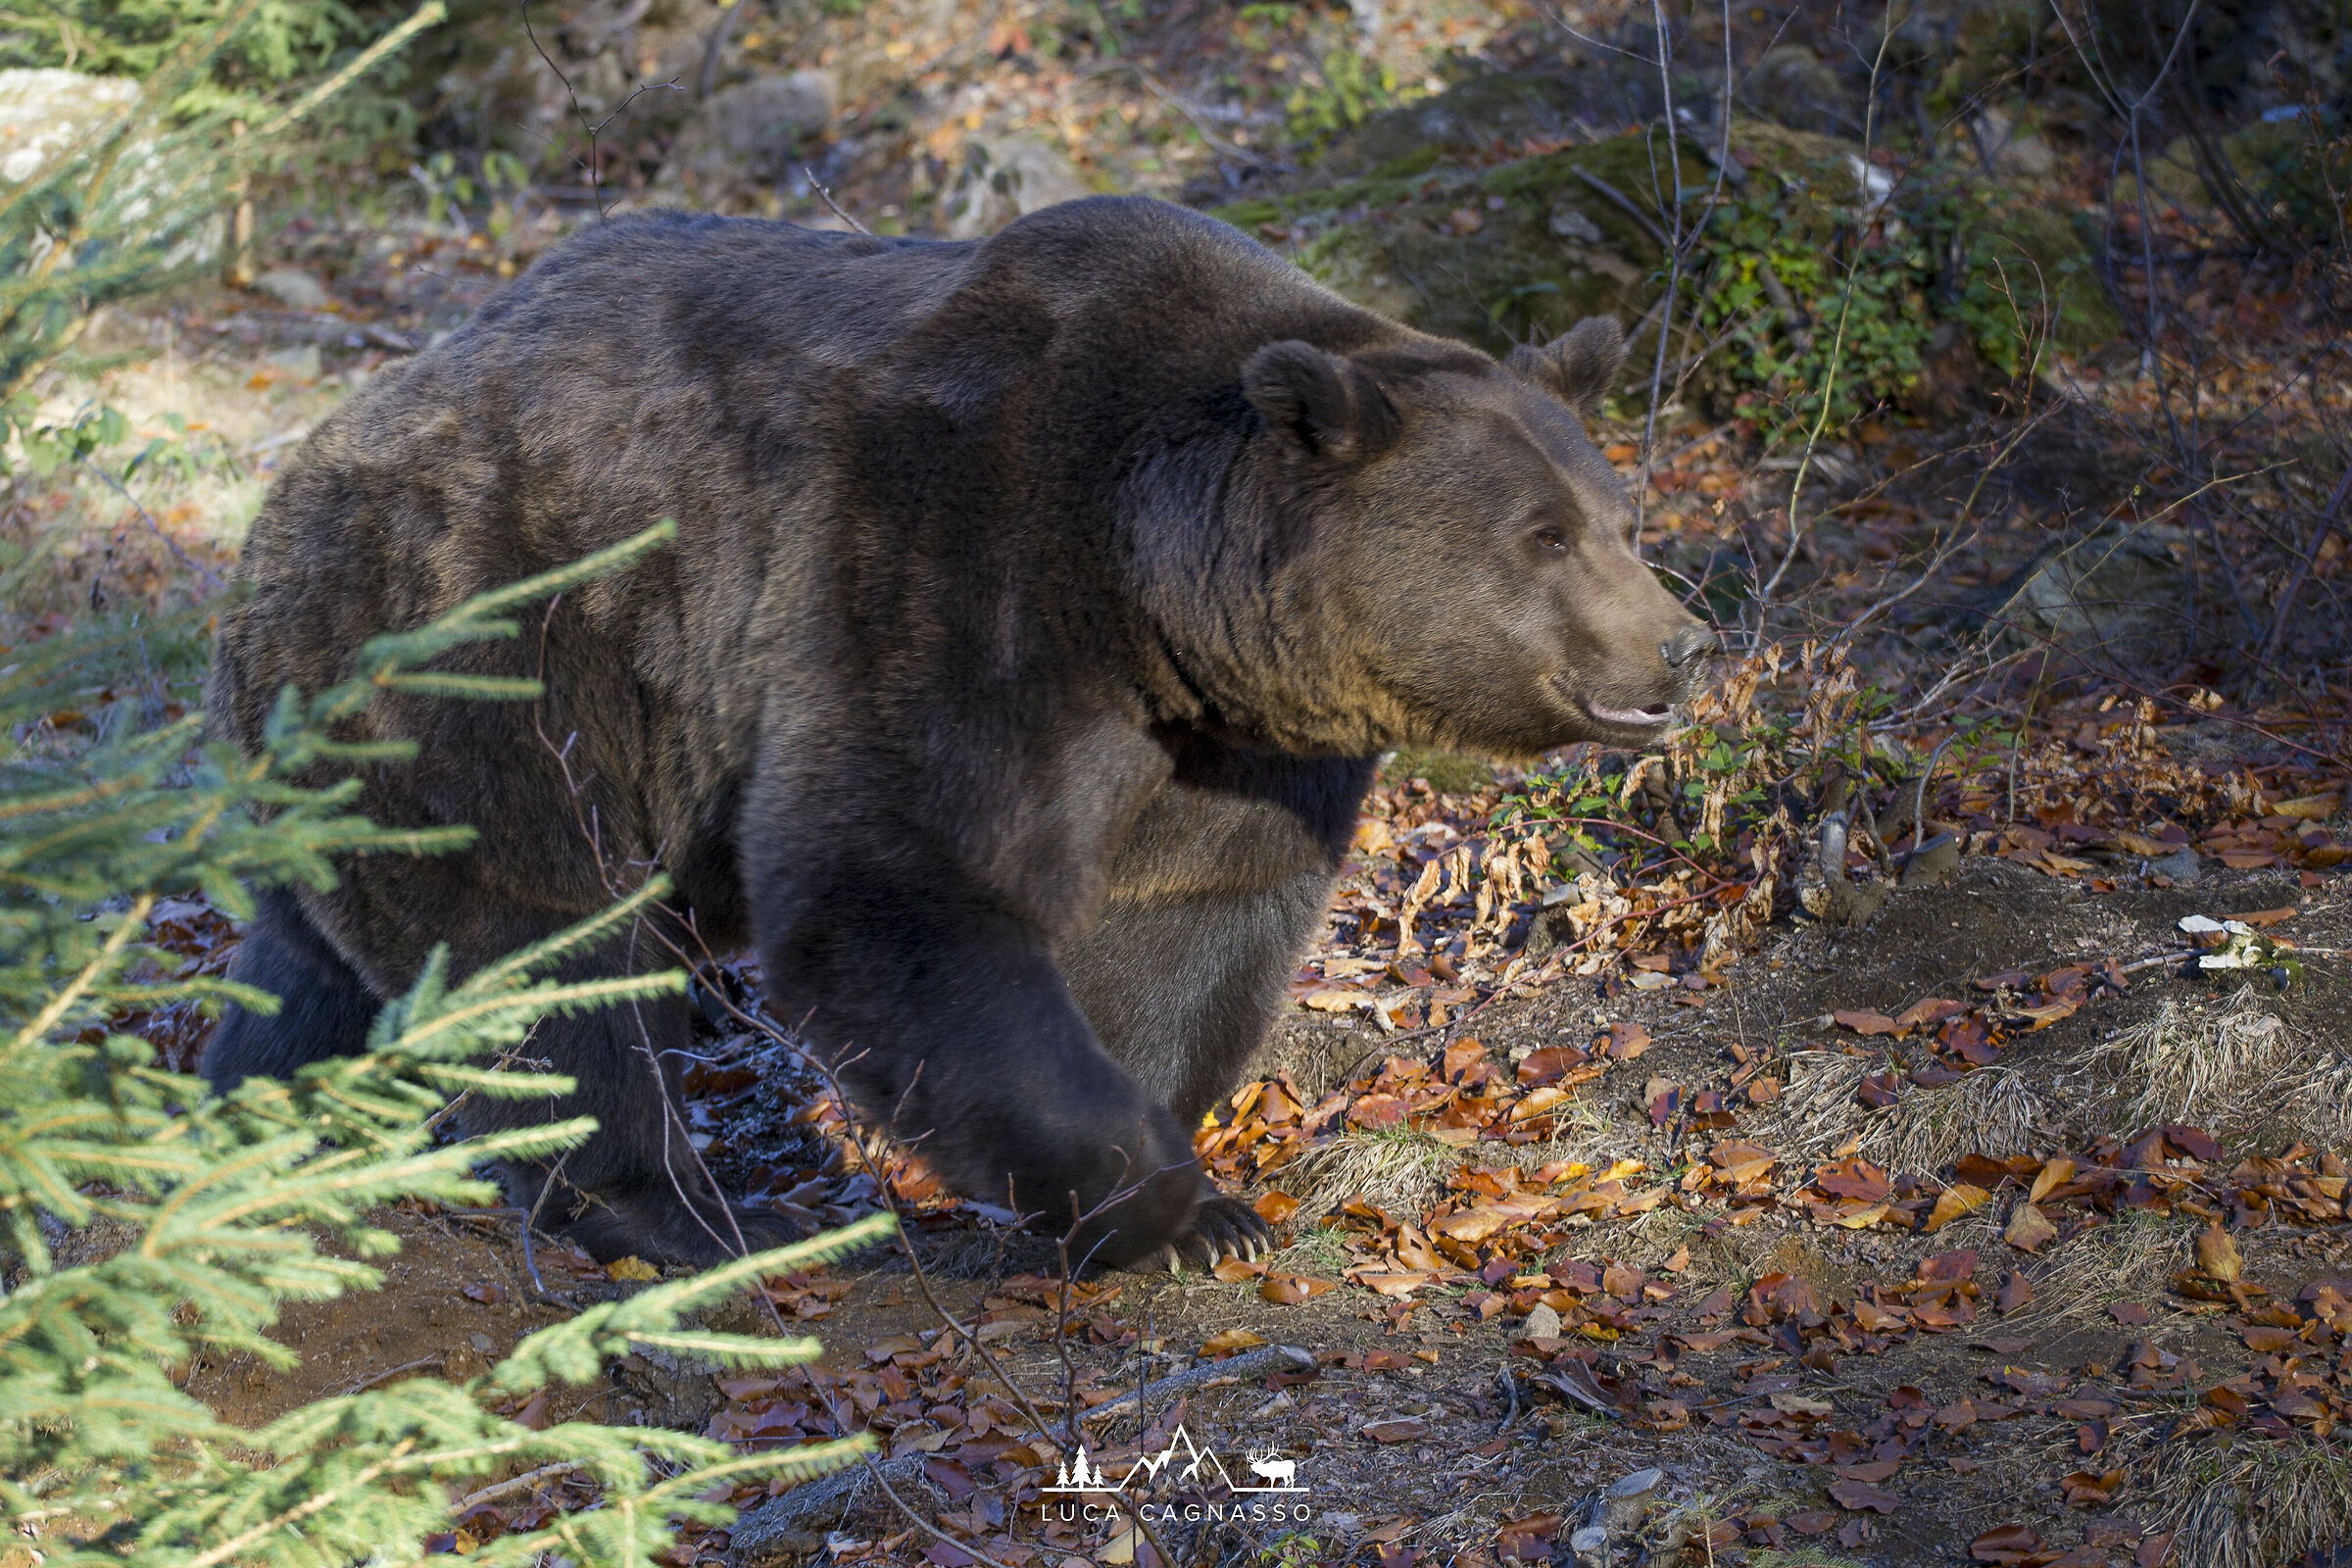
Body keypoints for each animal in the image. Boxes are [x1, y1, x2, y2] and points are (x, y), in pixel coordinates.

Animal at [202, 195, 1716, 1272]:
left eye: (1614, 514)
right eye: (1543, 535)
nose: (1681, 644)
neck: (1159, 592)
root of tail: (294, 477)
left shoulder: (1233, 745)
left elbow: (1194, 918)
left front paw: (1182, 1194)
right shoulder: (945, 567)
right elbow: (899, 882)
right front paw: (1158, 1204)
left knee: (322, 955)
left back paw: (244, 1128)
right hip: (492, 651)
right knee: (543, 950)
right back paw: (679, 1212)